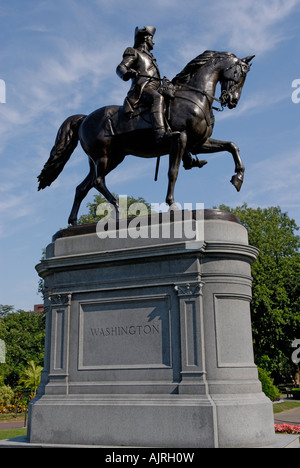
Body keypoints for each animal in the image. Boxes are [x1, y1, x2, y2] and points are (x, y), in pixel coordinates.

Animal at [37, 49, 253, 225]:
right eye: (239, 73)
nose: (232, 101)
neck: (195, 96)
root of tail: (84, 119)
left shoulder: (198, 143)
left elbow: (232, 146)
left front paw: (238, 178)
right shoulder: (180, 140)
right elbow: (173, 173)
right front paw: (172, 205)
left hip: (109, 159)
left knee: (82, 187)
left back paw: (73, 223)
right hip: (104, 156)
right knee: (98, 182)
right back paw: (118, 210)